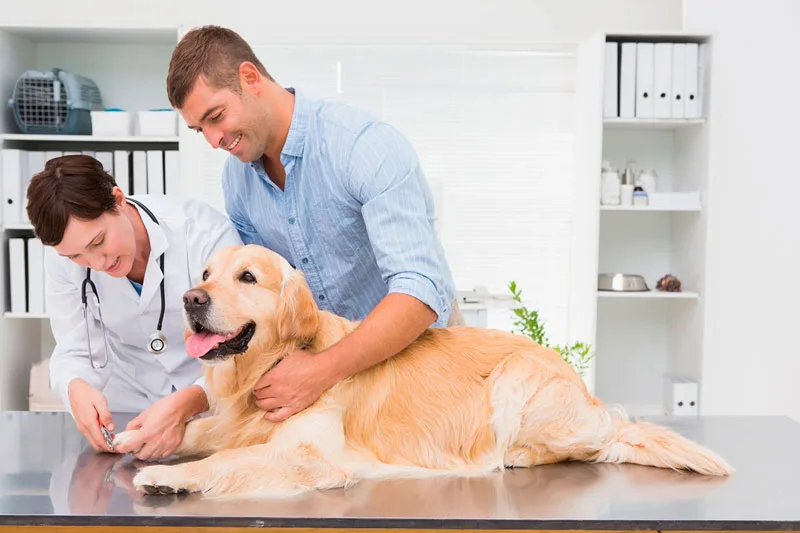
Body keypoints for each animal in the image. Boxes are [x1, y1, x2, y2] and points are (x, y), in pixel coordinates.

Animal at [115, 243, 736, 496]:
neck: (272, 362)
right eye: (205, 272)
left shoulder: (309, 457)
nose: (191, 299)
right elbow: (202, 432)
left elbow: (226, 460)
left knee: (599, 442)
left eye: (247, 277)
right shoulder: (232, 422)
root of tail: (588, 397)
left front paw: (168, 477)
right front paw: (139, 436)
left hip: (517, 380)